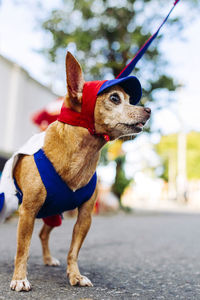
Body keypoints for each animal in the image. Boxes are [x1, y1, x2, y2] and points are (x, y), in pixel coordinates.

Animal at [0, 51, 150, 290]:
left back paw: (48, 259)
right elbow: (22, 249)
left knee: (43, 234)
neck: (82, 155)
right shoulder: (28, 212)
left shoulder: (85, 216)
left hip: (53, 214)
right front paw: (20, 278)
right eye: (114, 98)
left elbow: (73, 250)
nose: (148, 110)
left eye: (130, 99)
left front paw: (75, 275)